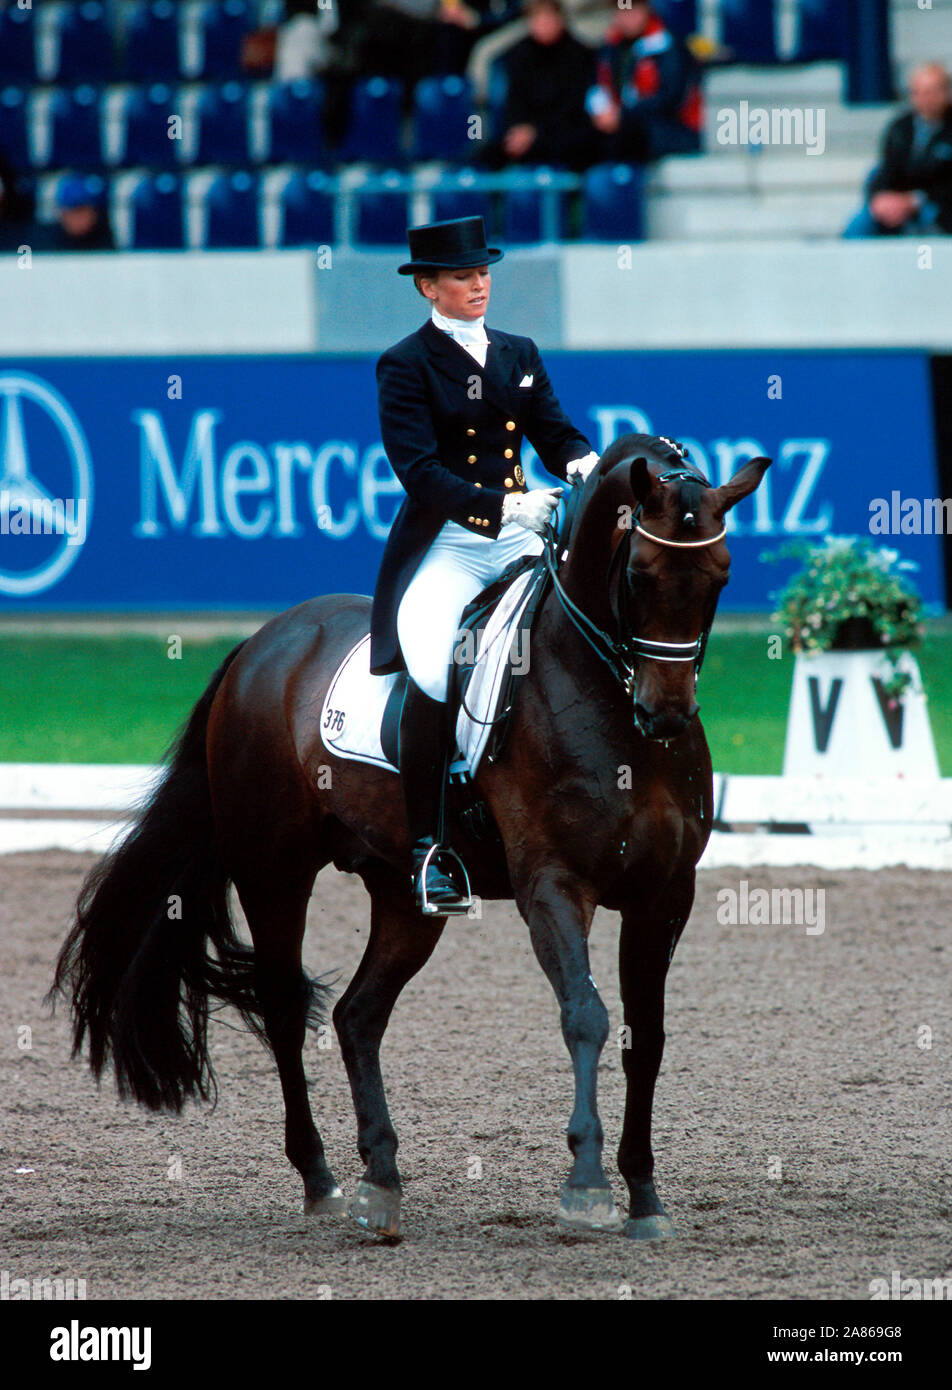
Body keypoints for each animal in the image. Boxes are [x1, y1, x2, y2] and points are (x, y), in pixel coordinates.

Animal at [48, 430, 767, 1239]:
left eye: (721, 573)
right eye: (639, 572)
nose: (665, 716)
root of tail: (262, 643)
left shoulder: (664, 894)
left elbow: (647, 1037)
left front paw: (645, 1195)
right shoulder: (552, 886)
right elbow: (585, 1015)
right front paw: (586, 1184)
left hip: (402, 890)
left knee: (359, 1015)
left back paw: (381, 1179)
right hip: (273, 870)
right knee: (286, 1006)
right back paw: (320, 1178)